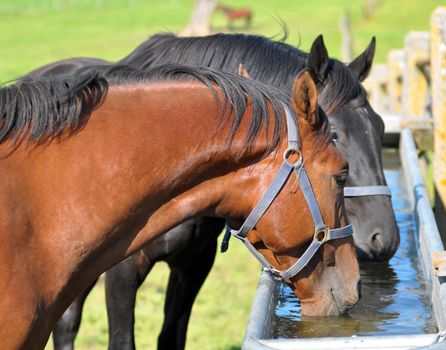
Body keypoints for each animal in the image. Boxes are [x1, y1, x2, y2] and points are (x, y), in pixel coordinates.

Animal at [26, 33, 398, 350]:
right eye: (335, 135)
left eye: (381, 127)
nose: (385, 240)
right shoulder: (123, 272)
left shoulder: (193, 264)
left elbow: (171, 337)